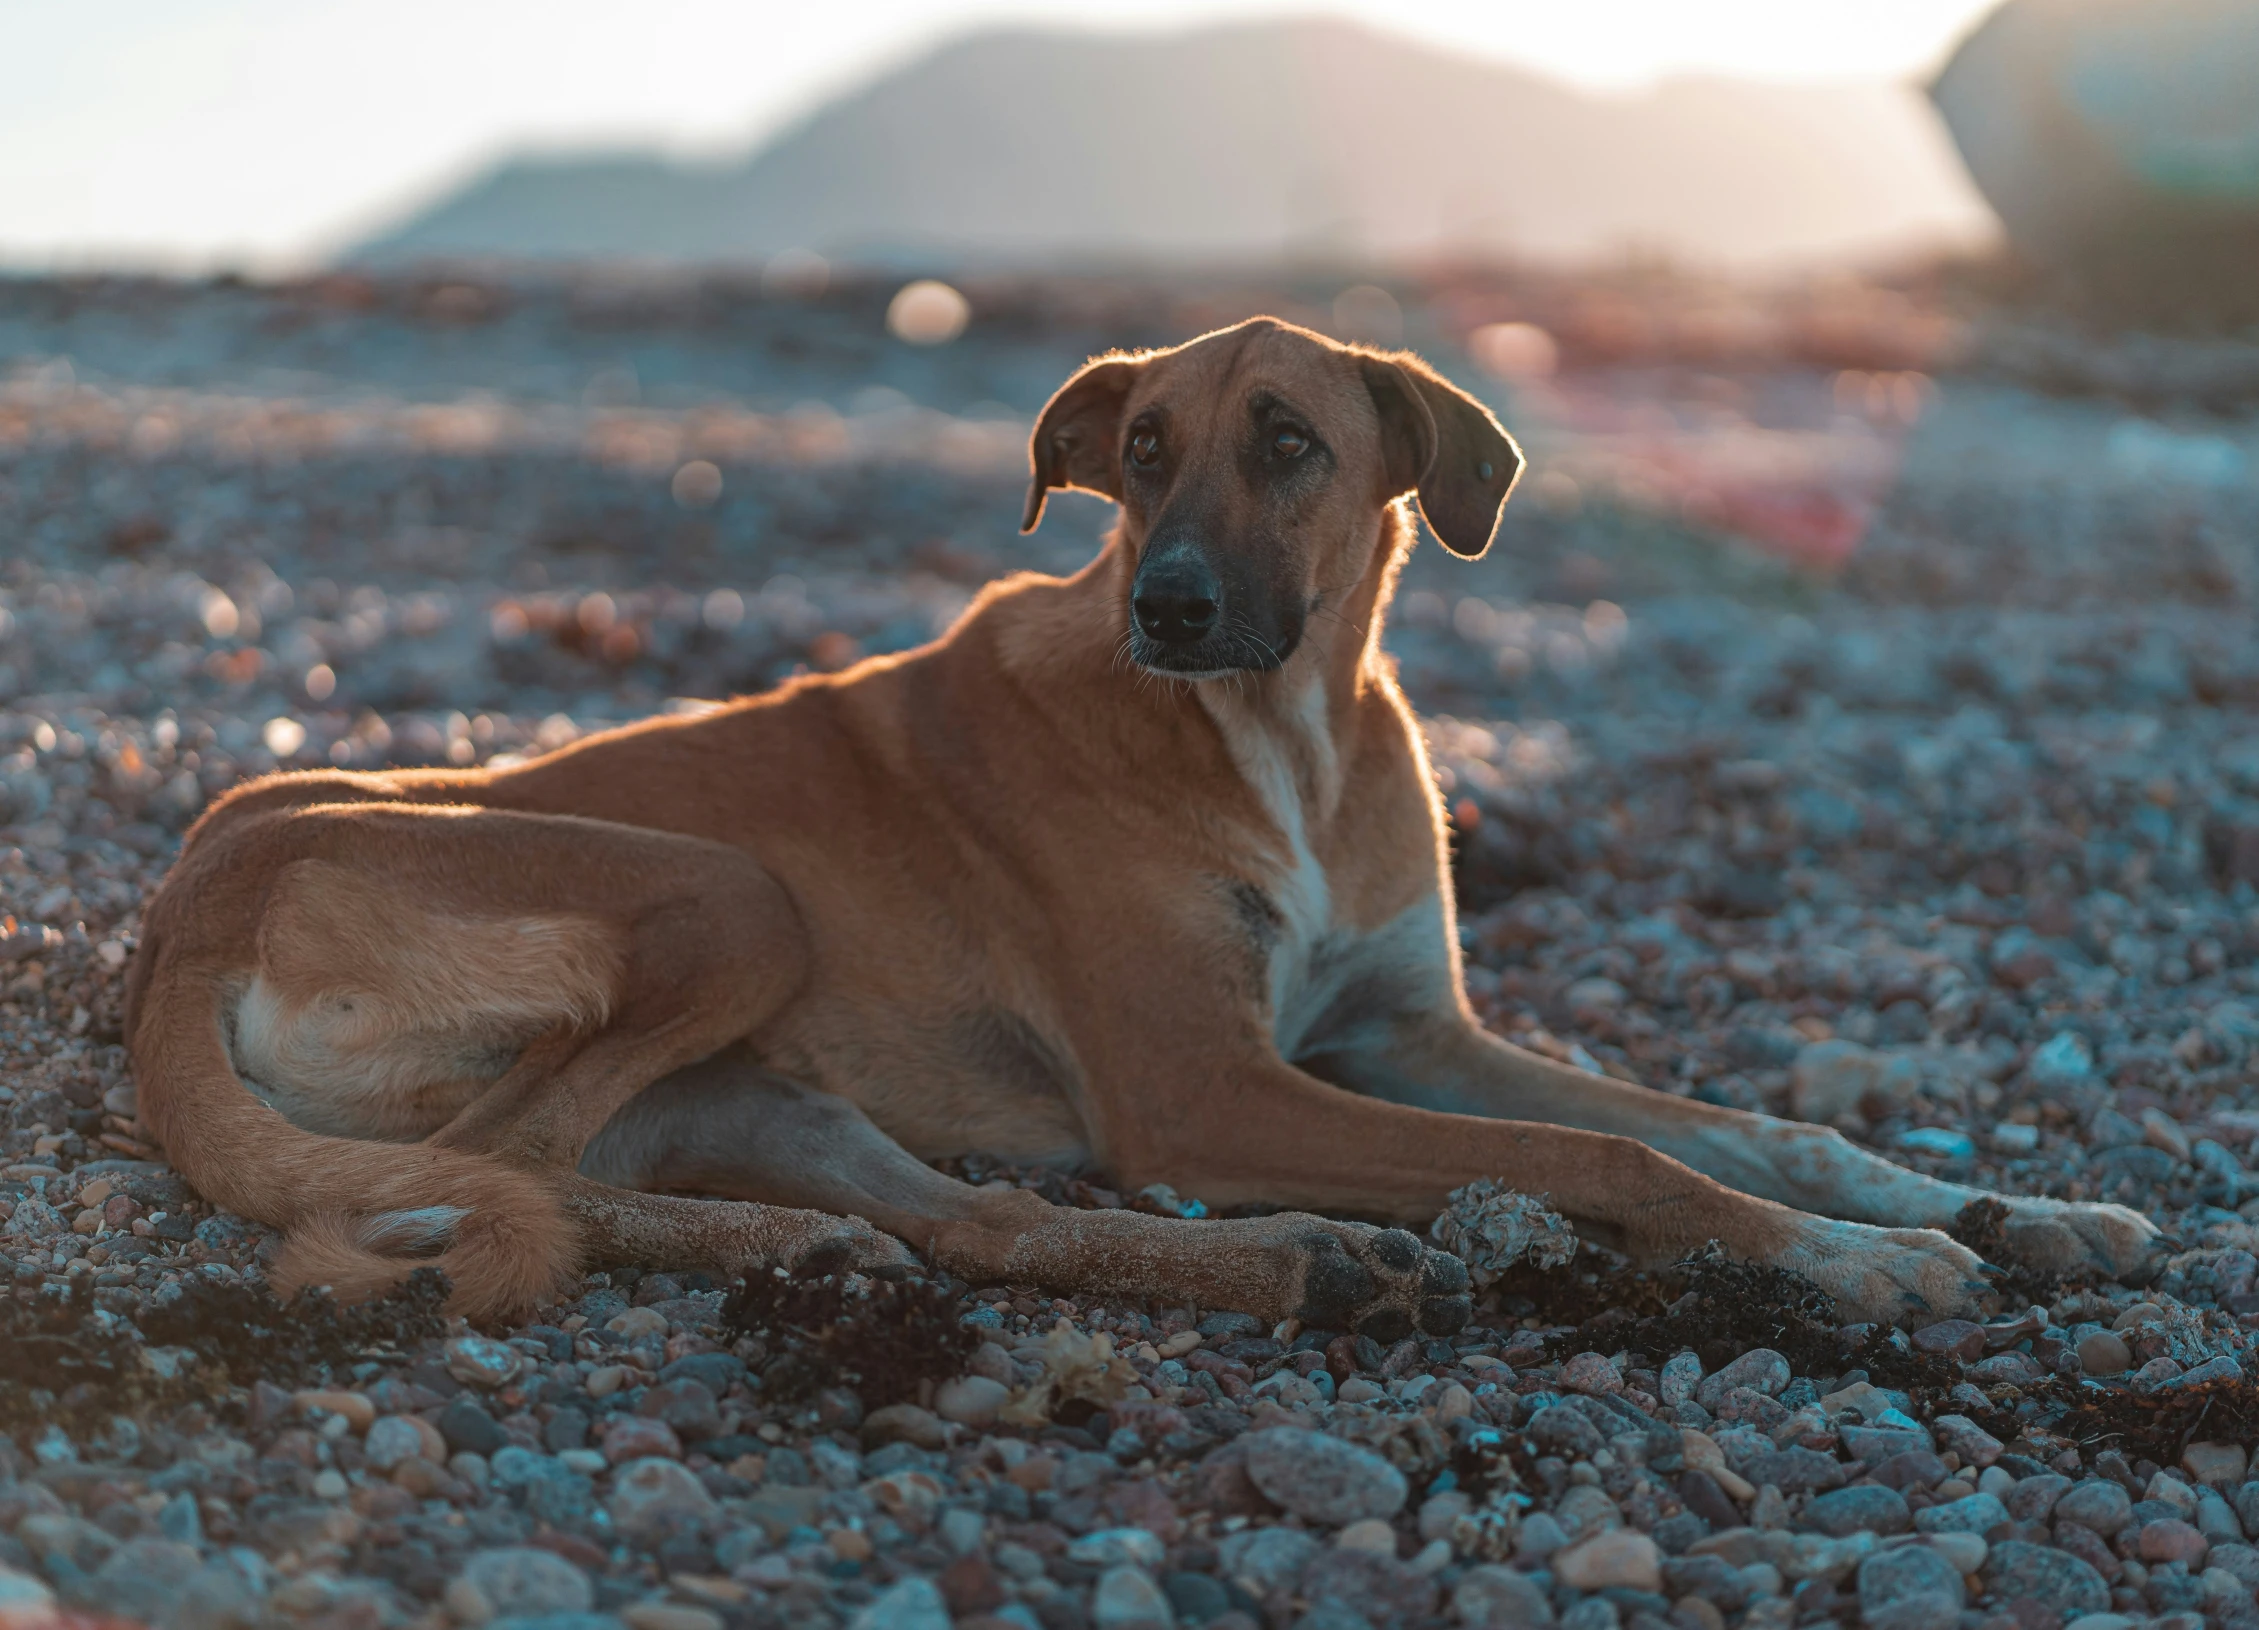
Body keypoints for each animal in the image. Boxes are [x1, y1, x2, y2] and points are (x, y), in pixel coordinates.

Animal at [119, 318, 2150, 1336]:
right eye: (1142, 453)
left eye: (1288, 443)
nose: (1165, 606)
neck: (1282, 739)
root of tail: (183, 914)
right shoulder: (1203, 1090)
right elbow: (1609, 1159)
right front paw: (1849, 1264)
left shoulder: (1409, 1033)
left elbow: (1741, 1124)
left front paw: (2000, 1204)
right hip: (728, 895)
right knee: (503, 1173)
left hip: (764, 1082)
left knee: (965, 1226)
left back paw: (1241, 1263)